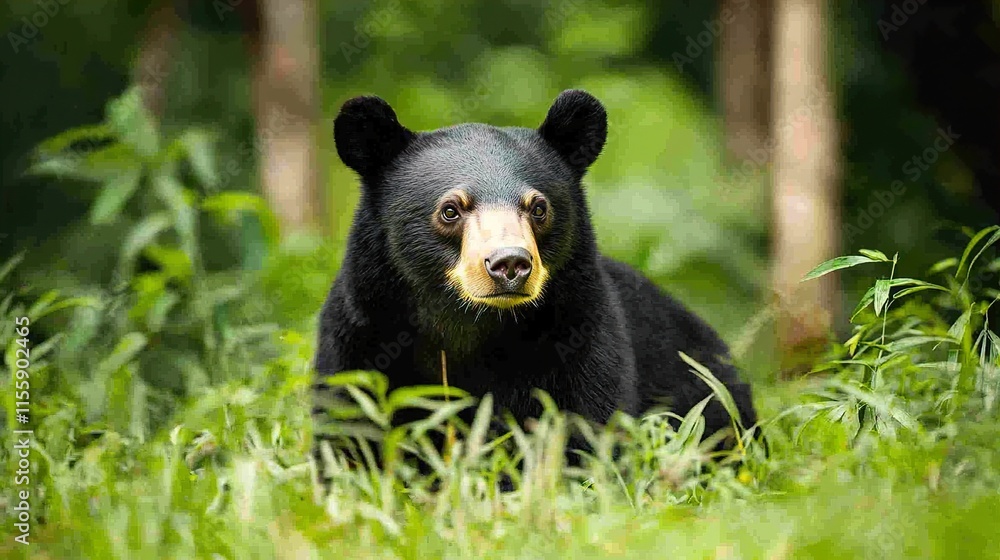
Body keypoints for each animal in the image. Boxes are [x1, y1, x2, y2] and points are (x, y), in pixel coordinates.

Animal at [312, 87, 756, 456]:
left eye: (538, 207)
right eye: (451, 209)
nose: (509, 263)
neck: (468, 324)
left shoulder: (581, 332)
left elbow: (587, 423)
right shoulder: (360, 333)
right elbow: (348, 426)